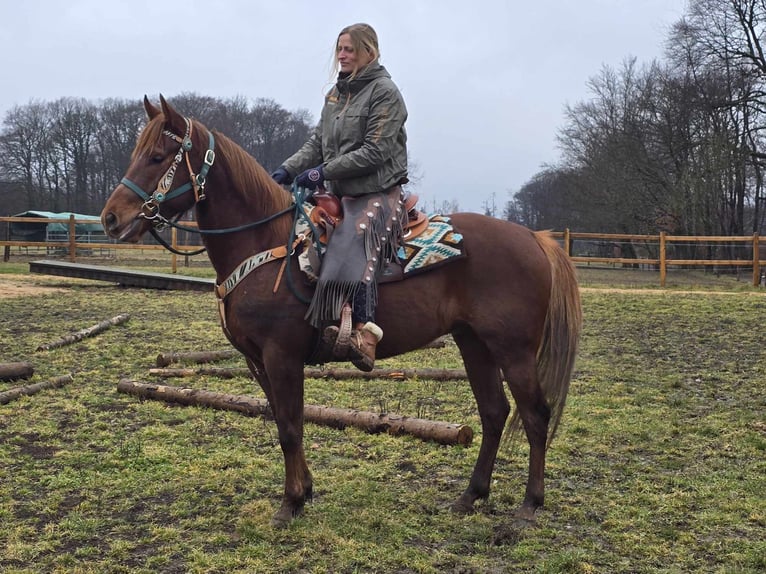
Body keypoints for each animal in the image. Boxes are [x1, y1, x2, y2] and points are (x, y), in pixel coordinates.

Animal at [100, 95, 584, 532]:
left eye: (158, 157)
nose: (111, 218)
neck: (265, 245)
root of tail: (535, 238)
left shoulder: (281, 356)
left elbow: (290, 428)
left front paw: (290, 503)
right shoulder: (257, 361)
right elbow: (284, 421)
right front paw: (304, 491)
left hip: (513, 350)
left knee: (535, 415)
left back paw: (529, 507)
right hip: (474, 343)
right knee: (494, 412)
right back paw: (471, 495)